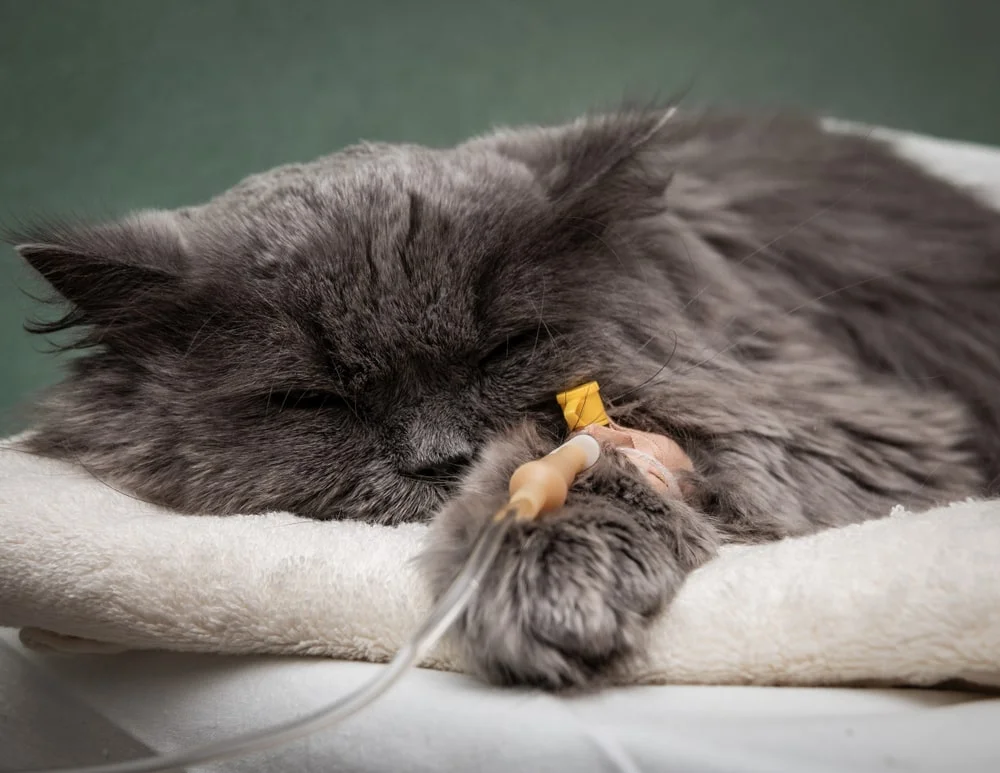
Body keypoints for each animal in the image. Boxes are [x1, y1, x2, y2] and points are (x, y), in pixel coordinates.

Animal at [11, 104, 1000, 688]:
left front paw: (545, 574)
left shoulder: (841, 422)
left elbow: (600, 453)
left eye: (508, 349)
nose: (437, 457)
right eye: (313, 399)